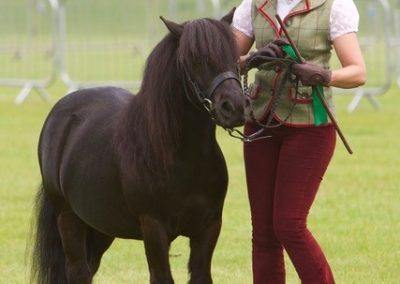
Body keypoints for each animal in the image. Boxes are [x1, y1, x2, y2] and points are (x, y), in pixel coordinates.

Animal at [32, 9, 244, 284]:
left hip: (100, 225)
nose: (234, 107)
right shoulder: (154, 228)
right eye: (194, 60)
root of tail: (61, 112)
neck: (182, 156)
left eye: (234, 55)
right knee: (77, 270)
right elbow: (161, 276)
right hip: (68, 218)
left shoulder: (208, 227)